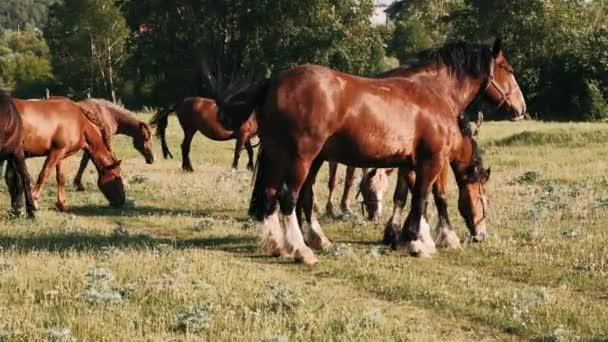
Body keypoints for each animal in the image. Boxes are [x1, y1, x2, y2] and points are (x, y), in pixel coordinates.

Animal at [208, 40, 524, 264]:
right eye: (507, 69)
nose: (521, 108)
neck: (433, 91)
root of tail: (274, 81)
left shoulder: (410, 163)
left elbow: (407, 197)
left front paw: (404, 236)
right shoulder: (433, 161)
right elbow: (426, 198)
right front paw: (421, 242)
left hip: (279, 155)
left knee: (272, 194)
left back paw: (281, 244)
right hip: (301, 157)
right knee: (289, 197)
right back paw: (301, 250)